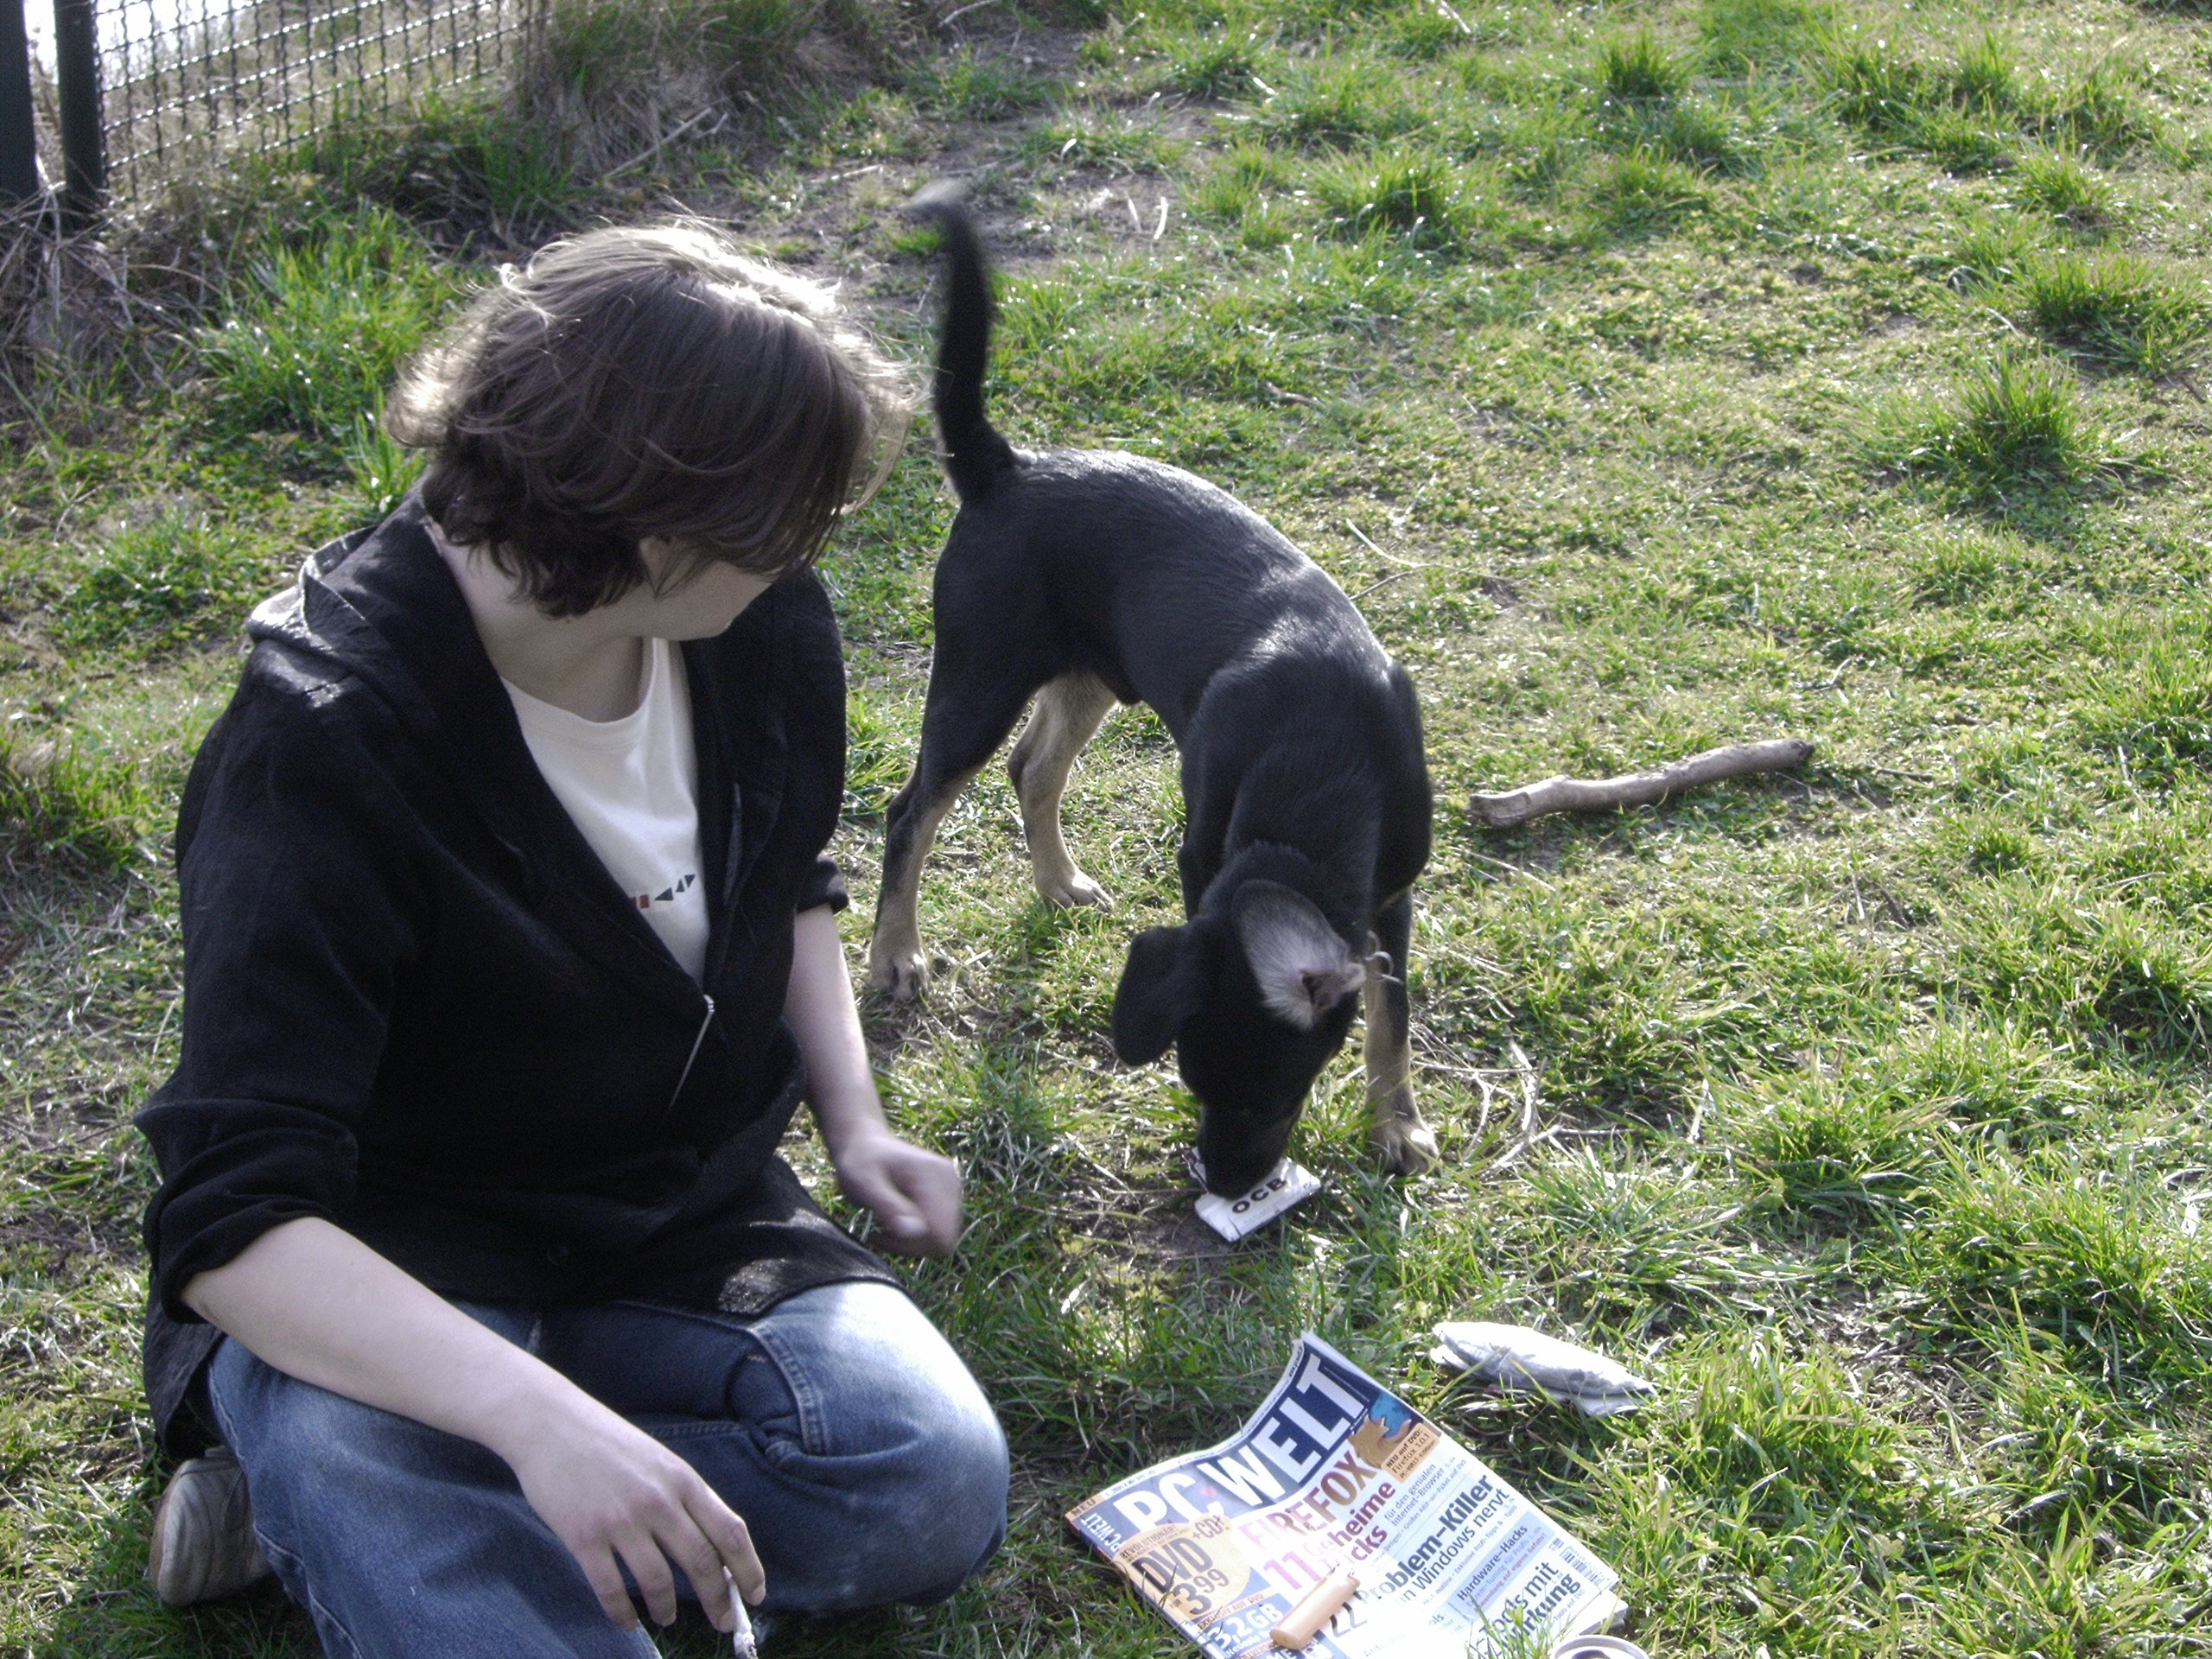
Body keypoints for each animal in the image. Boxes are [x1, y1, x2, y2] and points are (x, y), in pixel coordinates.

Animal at [862, 194, 1433, 1203]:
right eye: (1196, 1083)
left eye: (1274, 1100)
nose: (1224, 1184)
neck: (1323, 755)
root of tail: (1006, 468)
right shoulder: (1204, 857)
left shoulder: (1391, 896)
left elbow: (1392, 1020)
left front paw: (1396, 1126)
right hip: (978, 674)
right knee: (913, 810)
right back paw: (897, 954)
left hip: (1088, 675)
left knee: (1033, 770)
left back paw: (1057, 881)